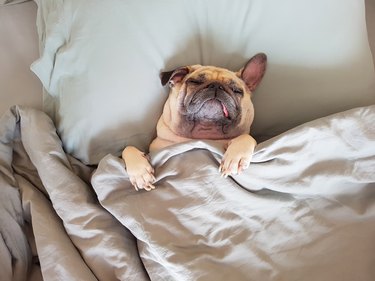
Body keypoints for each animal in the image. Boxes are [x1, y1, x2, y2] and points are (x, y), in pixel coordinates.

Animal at [122, 52, 268, 190]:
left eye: (236, 90)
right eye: (194, 82)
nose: (216, 85)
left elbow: (247, 137)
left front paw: (236, 157)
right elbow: (127, 148)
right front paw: (140, 172)